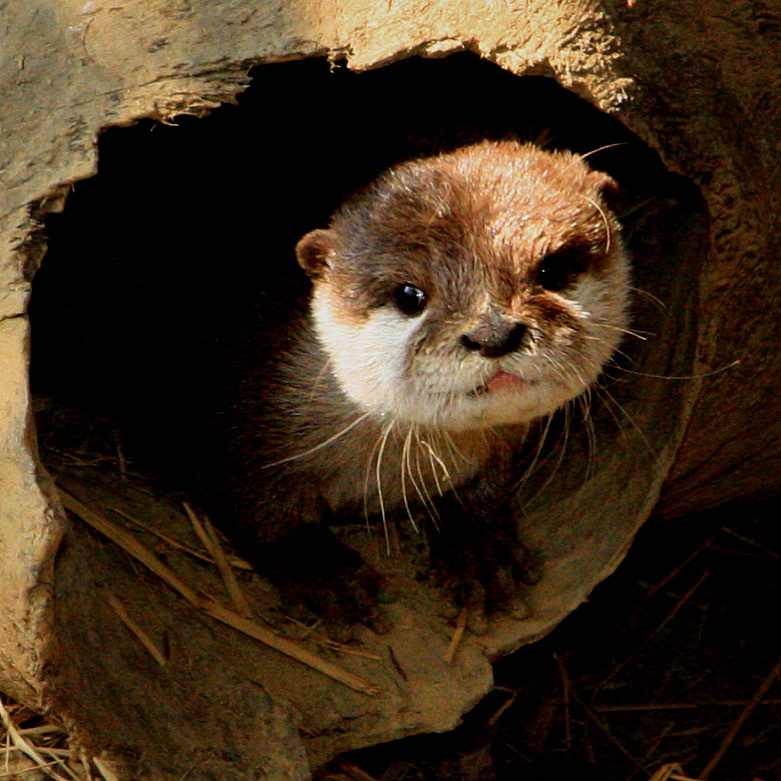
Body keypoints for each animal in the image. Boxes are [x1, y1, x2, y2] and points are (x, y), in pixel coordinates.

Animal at [198, 140, 632, 636]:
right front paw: (326, 576)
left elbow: (482, 491)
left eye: (553, 270)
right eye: (410, 295)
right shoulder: (237, 417)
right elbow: (257, 508)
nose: (493, 335)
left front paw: (479, 553)